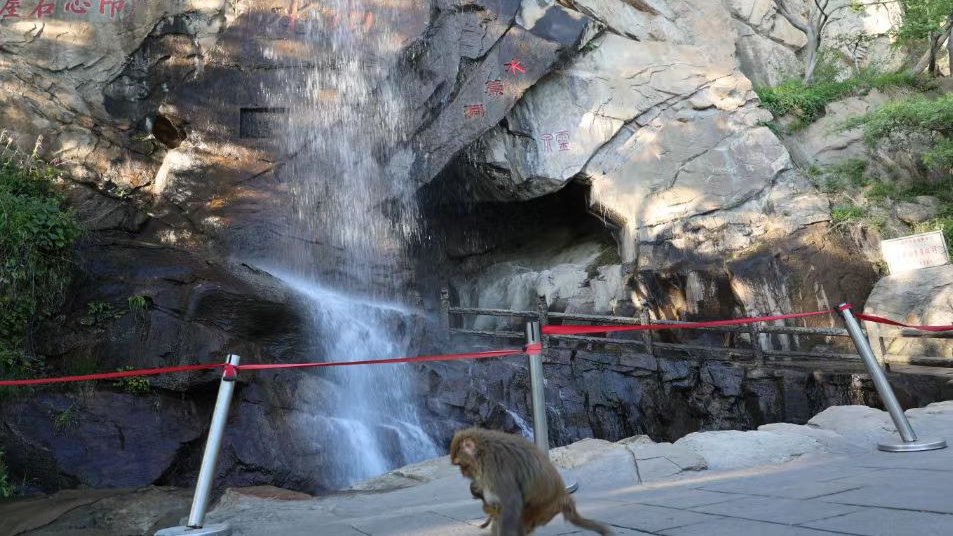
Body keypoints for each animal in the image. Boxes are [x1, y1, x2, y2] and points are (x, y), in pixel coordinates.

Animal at [451, 427, 614, 536]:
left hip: (541, 509)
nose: (463, 473)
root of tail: (563, 495)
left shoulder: (494, 466)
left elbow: (511, 501)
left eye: (462, 465)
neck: (483, 449)